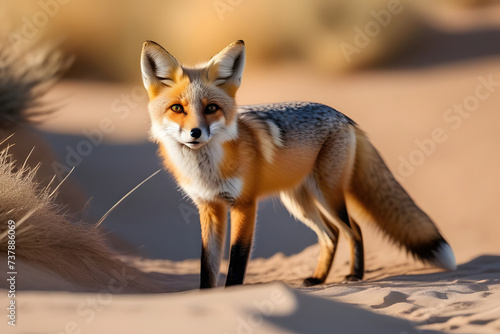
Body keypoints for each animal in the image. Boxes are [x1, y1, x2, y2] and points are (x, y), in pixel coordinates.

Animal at [141, 40, 458, 288]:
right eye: (177, 108)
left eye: (211, 108)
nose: (195, 133)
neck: (207, 170)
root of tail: (343, 115)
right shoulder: (209, 207)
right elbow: (207, 266)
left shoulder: (245, 205)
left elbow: (237, 261)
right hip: (298, 201)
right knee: (330, 234)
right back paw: (318, 279)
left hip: (327, 194)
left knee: (353, 228)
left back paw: (355, 275)